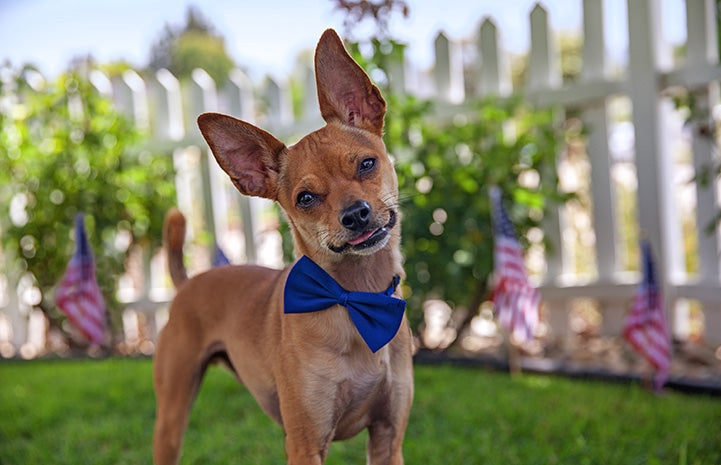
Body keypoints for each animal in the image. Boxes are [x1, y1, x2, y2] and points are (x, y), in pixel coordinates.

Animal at [152, 29, 410, 464]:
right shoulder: (305, 444)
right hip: (171, 418)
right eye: (305, 198)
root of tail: (188, 283)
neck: (357, 299)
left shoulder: (388, 438)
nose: (355, 215)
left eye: (366, 164)